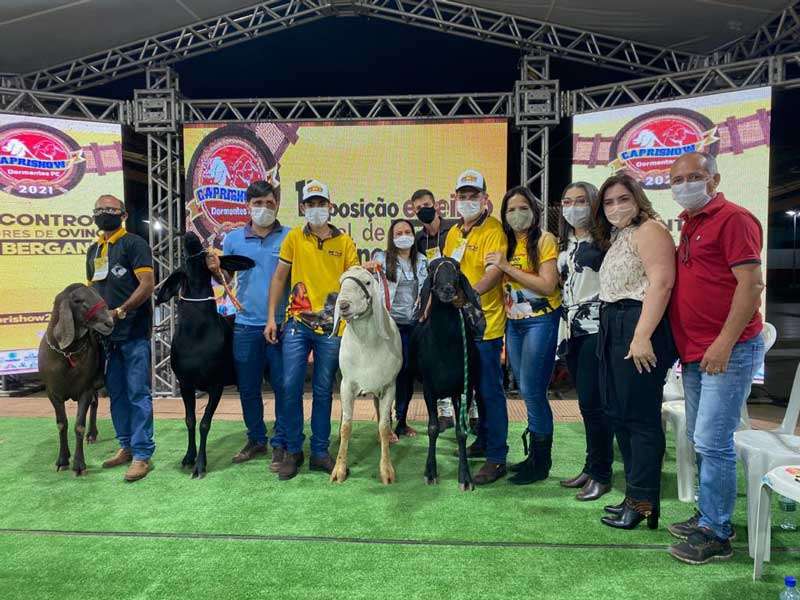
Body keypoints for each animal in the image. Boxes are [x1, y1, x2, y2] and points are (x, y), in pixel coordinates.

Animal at [38, 284, 114, 476]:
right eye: (78, 300)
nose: (110, 322)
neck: (68, 354)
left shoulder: (85, 390)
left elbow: (79, 426)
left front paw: (79, 465)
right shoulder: (53, 393)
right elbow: (61, 424)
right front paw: (62, 460)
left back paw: (92, 434)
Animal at [153, 232, 253, 480]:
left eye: (206, 256)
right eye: (184, 262)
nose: (190, 235)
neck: (196, 335)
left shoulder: (216, 385)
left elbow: (205, 423)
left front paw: (200, 464)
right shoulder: (186, 384)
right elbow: (190, 420)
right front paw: (189, 456)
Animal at [328, 266, 400, 482]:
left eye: (367, 282)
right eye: (341, 281)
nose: (343, 305)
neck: (366, 345)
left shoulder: (389, 386)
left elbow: (384, 426)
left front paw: (386, 471)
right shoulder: (347, 385)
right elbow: (346, 426)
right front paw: (339, 470)